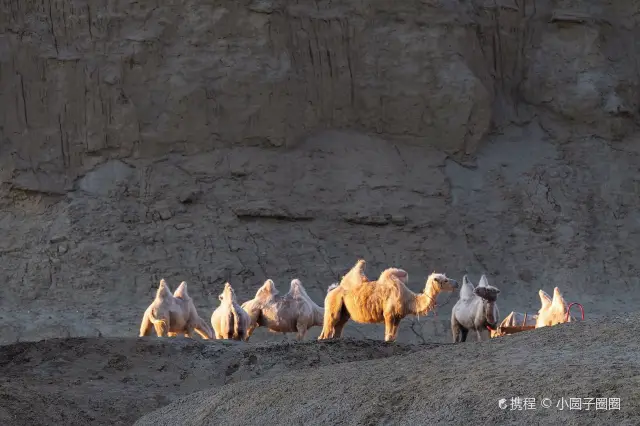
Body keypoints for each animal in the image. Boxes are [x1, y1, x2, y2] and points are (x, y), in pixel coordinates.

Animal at [318, 259, 459, 342]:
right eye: (445, 280)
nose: (456, 283)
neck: (408, 299)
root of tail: (331, 290)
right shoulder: (389, 314)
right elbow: (388, 336)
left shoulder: (398, 317)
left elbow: (393, 337)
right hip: (333, 305)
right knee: (327, 329)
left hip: (344, 312)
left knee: (338, 327)